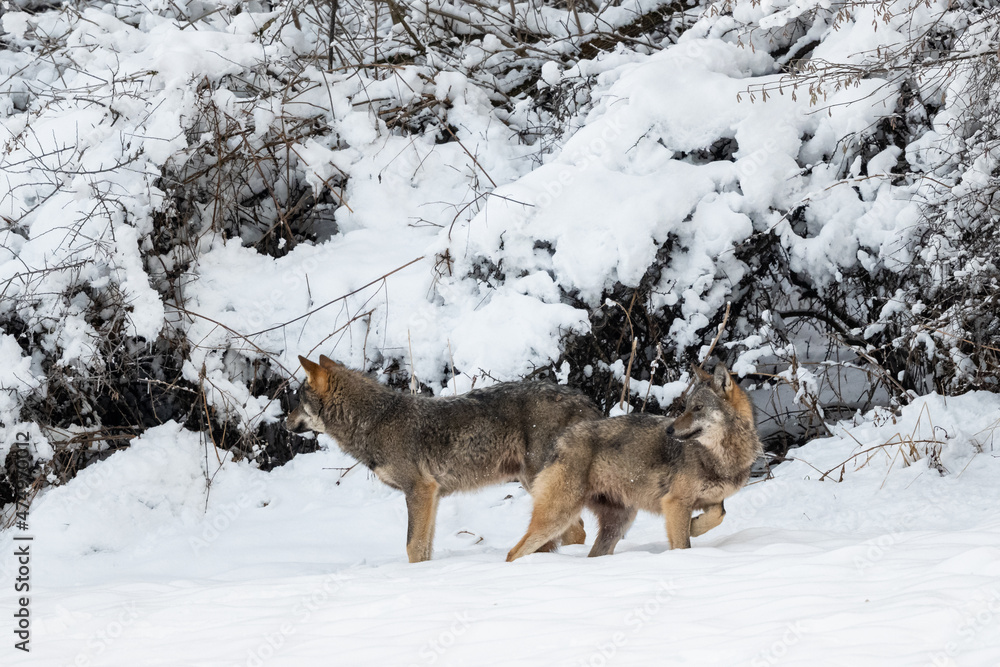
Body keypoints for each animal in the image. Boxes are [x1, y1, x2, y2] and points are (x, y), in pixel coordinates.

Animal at [285, 355, 601, 563]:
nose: (284, 422)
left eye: (298, 401)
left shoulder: (419, 490)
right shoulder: (432, 496)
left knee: (574, 531)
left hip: (538, 483)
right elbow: (423, 548)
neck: (375, 420)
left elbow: (412, 547)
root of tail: (585, 400)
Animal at [506, 364, 762, 561]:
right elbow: (683, 543)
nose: (670, 430)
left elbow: (719, 514)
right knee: (514, 552)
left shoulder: (710, 501)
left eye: (698, 408)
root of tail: (558, 441)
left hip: (618, 524)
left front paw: (695, 526)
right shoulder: (675, 503)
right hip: (559, 517)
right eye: (687, 407)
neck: (721, 456)